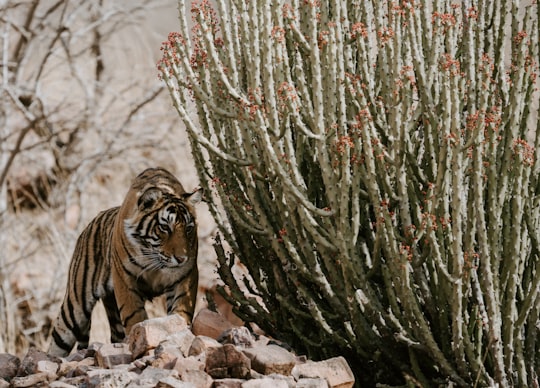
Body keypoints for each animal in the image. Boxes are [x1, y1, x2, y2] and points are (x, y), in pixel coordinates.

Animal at [48, 166, 204, 354]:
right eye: (164, 227)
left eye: (188, 229)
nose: (181, 258)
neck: (154, 259)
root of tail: (86, 228)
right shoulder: (124, 278)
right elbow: (134, 316)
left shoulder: (186, 276)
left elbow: (181, 311)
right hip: (75, 307)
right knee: (57, 341)